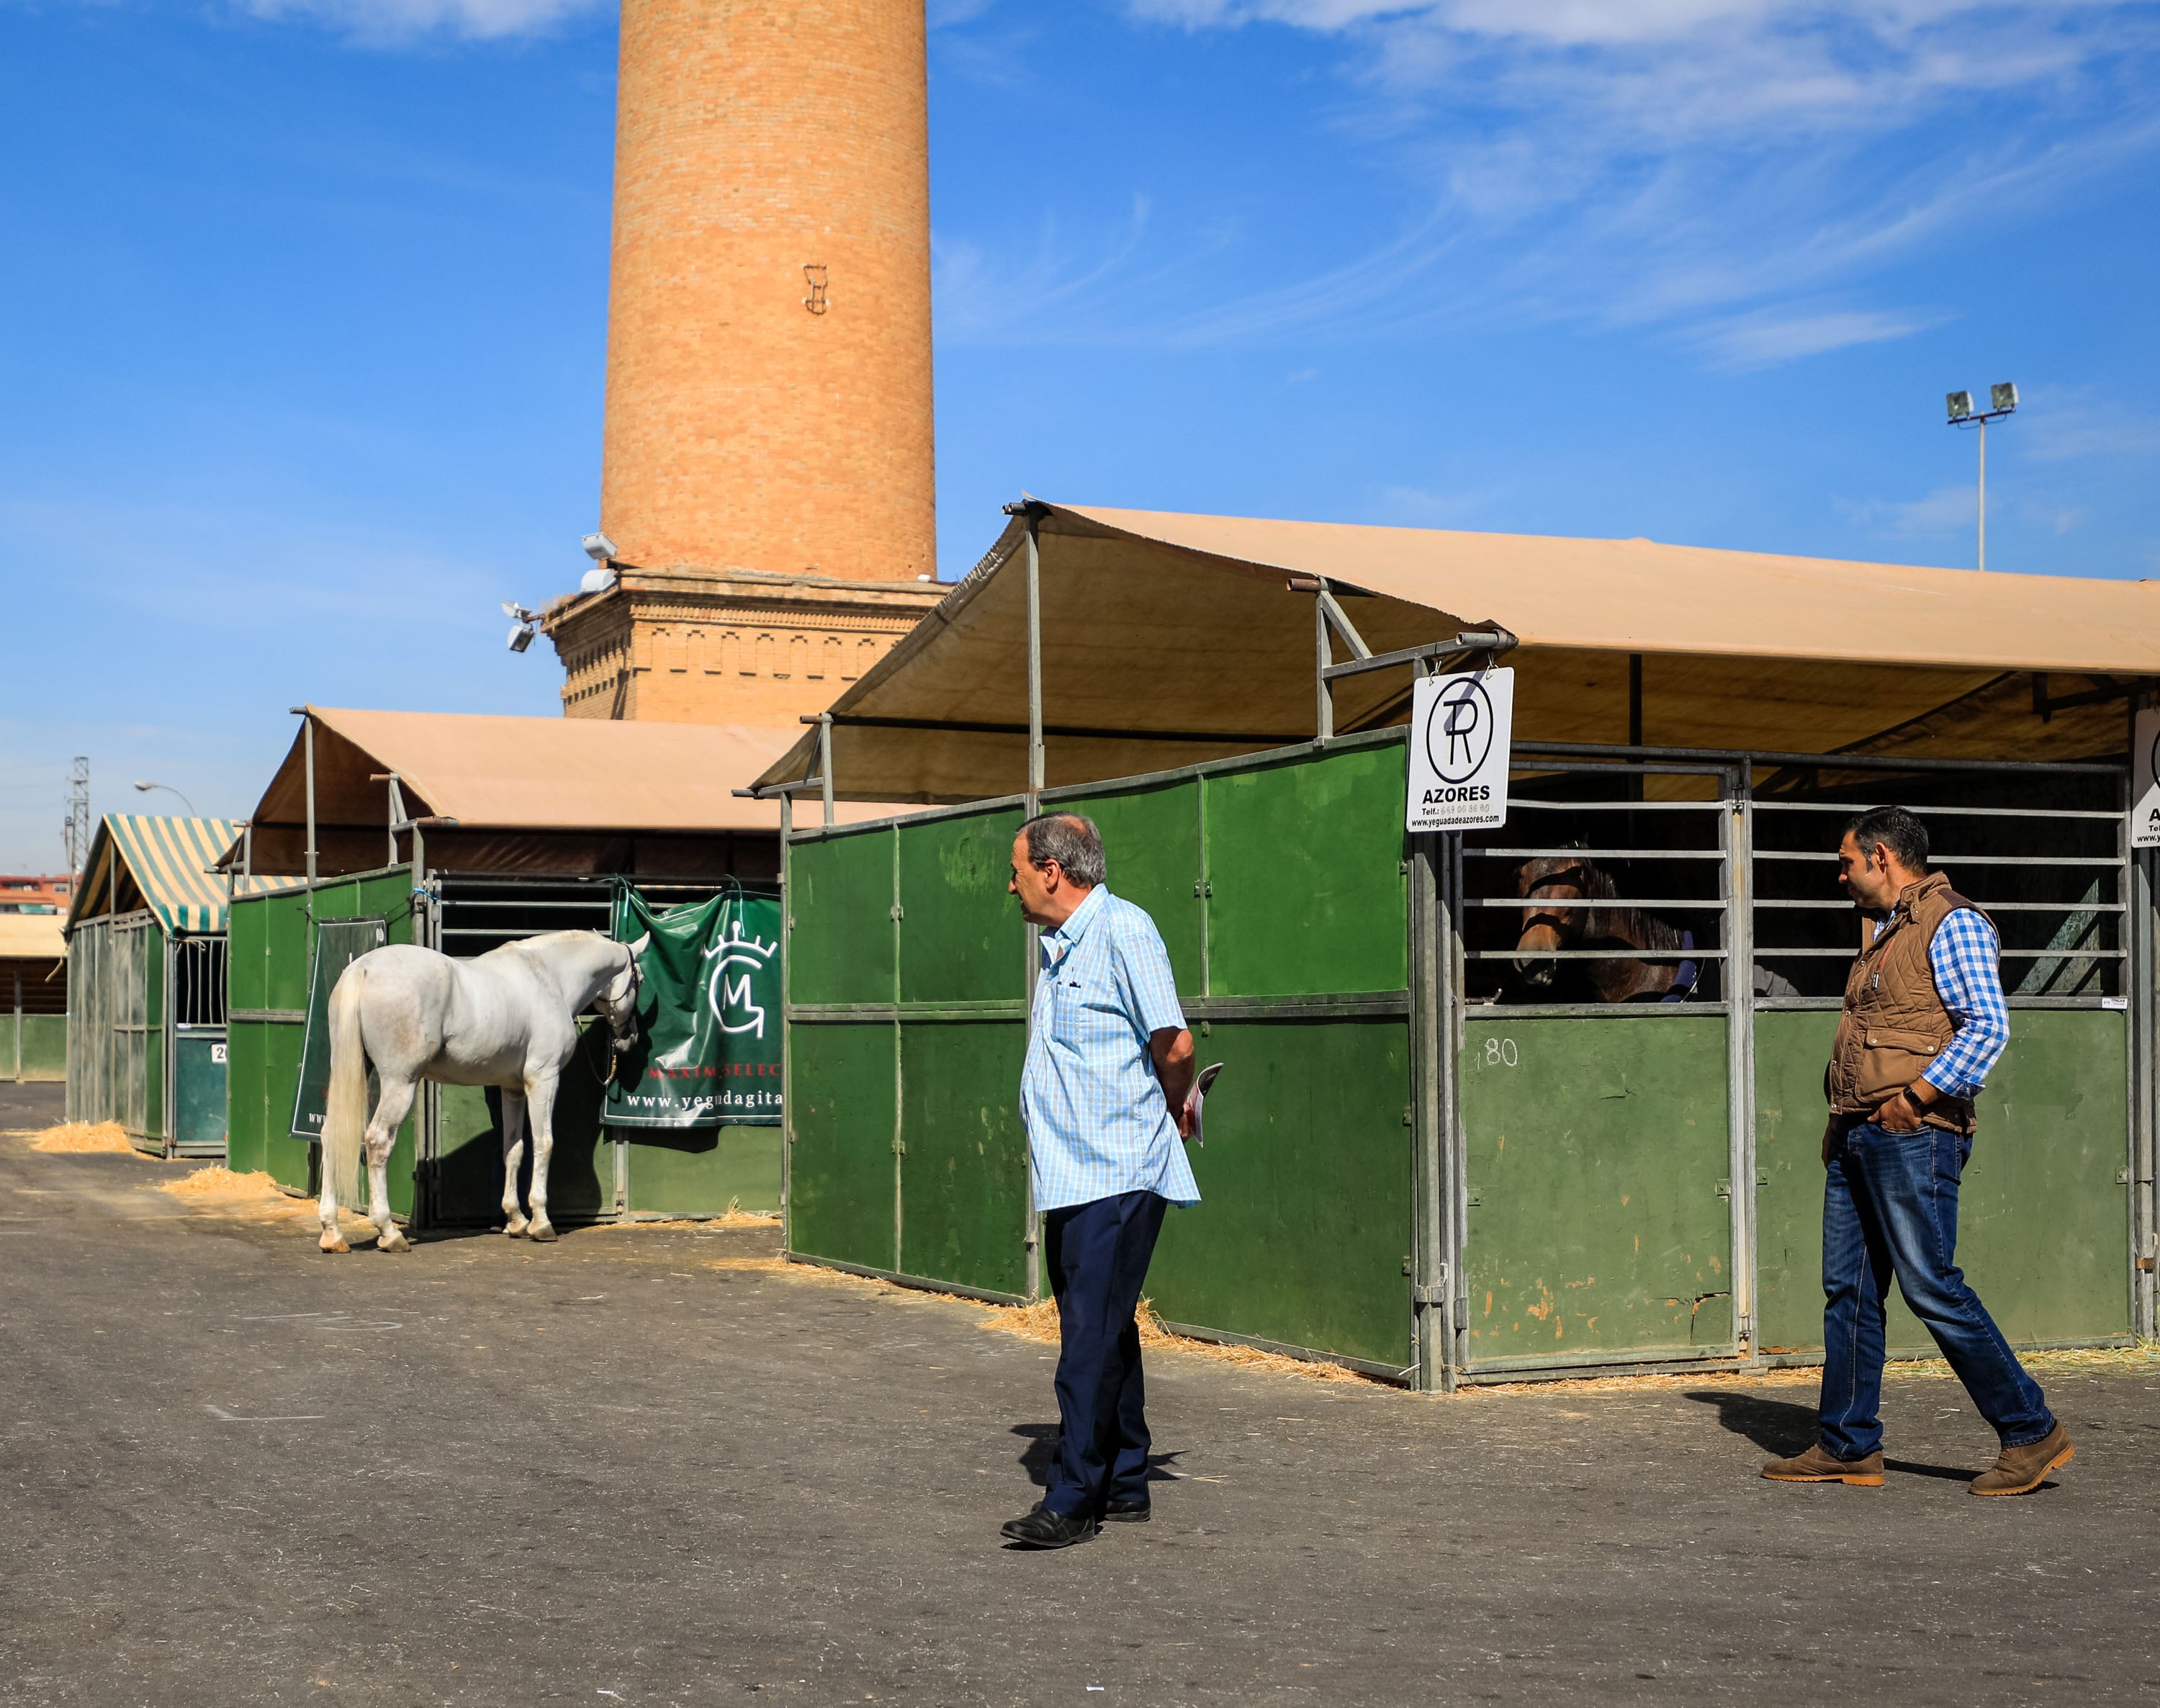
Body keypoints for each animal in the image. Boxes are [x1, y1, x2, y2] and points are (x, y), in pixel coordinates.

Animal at [315, 937, 644, 1252]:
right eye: (639, 978)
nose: (630, 1038)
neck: (549, 977)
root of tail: (364, 969)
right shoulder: (543, 1079)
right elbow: (544, 1144)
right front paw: (541, 1223)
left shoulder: (513, 1089)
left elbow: (513, 1149)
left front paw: (516, 1220)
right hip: (401, 1082)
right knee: (378, 1140)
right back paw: (389, 1233)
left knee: (330, 1134)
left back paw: (332, 1233)